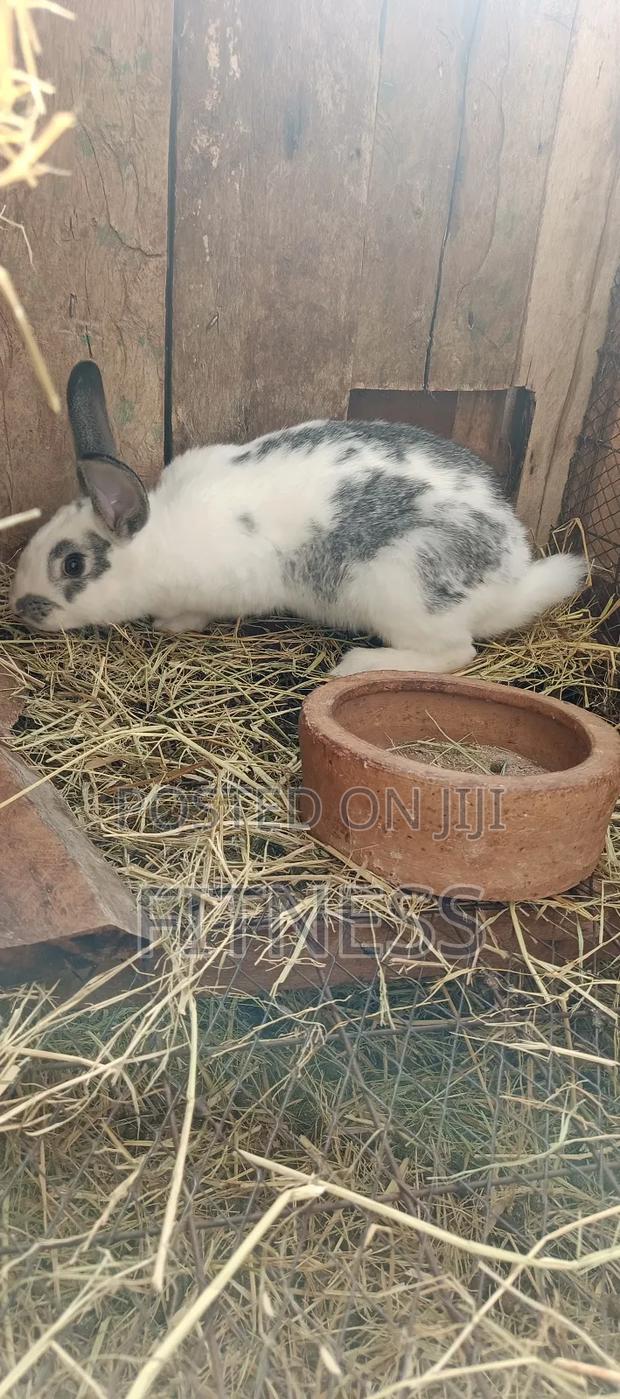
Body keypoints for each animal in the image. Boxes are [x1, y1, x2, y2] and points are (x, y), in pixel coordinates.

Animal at [10, 359, 586, 676]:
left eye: (73, 565)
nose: (20, 608)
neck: (158, 541)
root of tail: (512, 581)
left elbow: (192, 616)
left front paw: (170, 625)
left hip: (406, 594)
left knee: (455, 653)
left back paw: (359, 665)